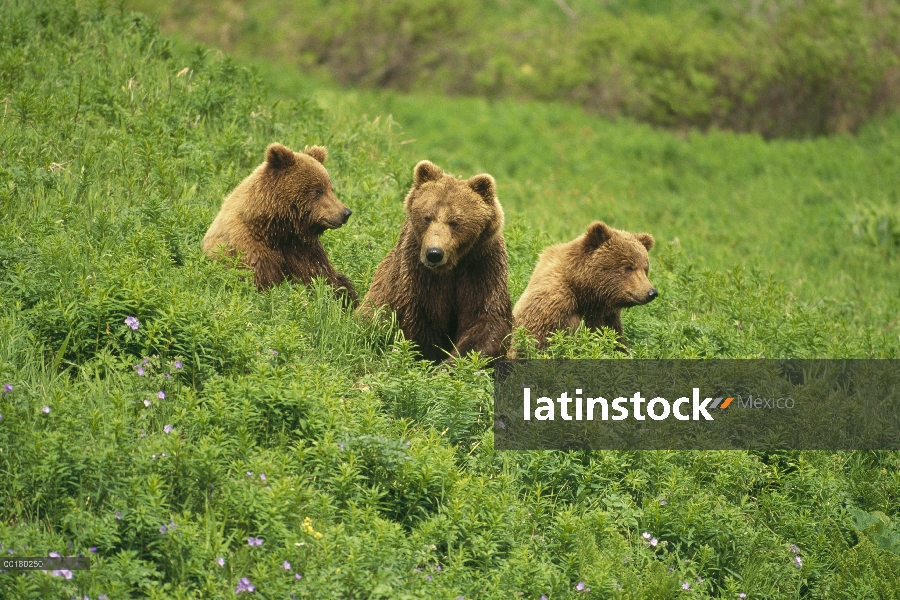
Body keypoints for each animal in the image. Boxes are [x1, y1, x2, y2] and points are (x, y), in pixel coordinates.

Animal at [202, 142, 356, 304]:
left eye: (331, 188)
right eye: (318, 190)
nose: (345, 212)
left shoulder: (304, 251)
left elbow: (326, 279)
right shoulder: (252, 252)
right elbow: (263, 284)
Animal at [360, 159, 512, 364]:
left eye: (455, 222)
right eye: (427, 217)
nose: (434, 253)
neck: (452, 266)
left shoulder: (481, 265)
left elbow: (485, 321)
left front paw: (453, 362)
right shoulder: (418, 273)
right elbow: (422, 320)